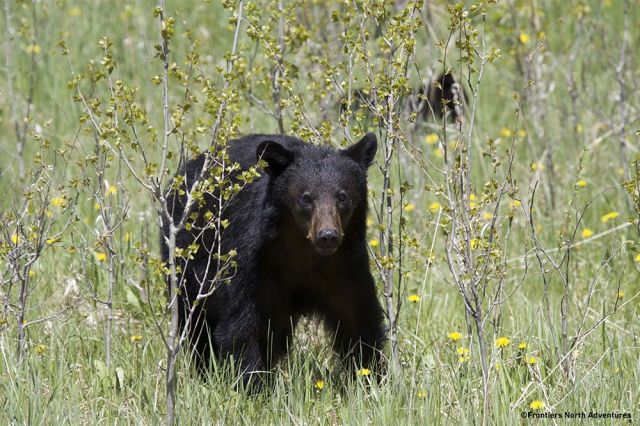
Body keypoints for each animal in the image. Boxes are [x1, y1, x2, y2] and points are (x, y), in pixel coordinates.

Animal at [160, 133, 386, 388]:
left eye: (342, 196)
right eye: (306, 197)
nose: (328, 236)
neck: (304, 251)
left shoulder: (347, 264)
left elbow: (358, 318)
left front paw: (370, 379)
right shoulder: (252, 261)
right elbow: (244, 324)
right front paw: (252, 385)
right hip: (187, 265)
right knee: (198, 325)